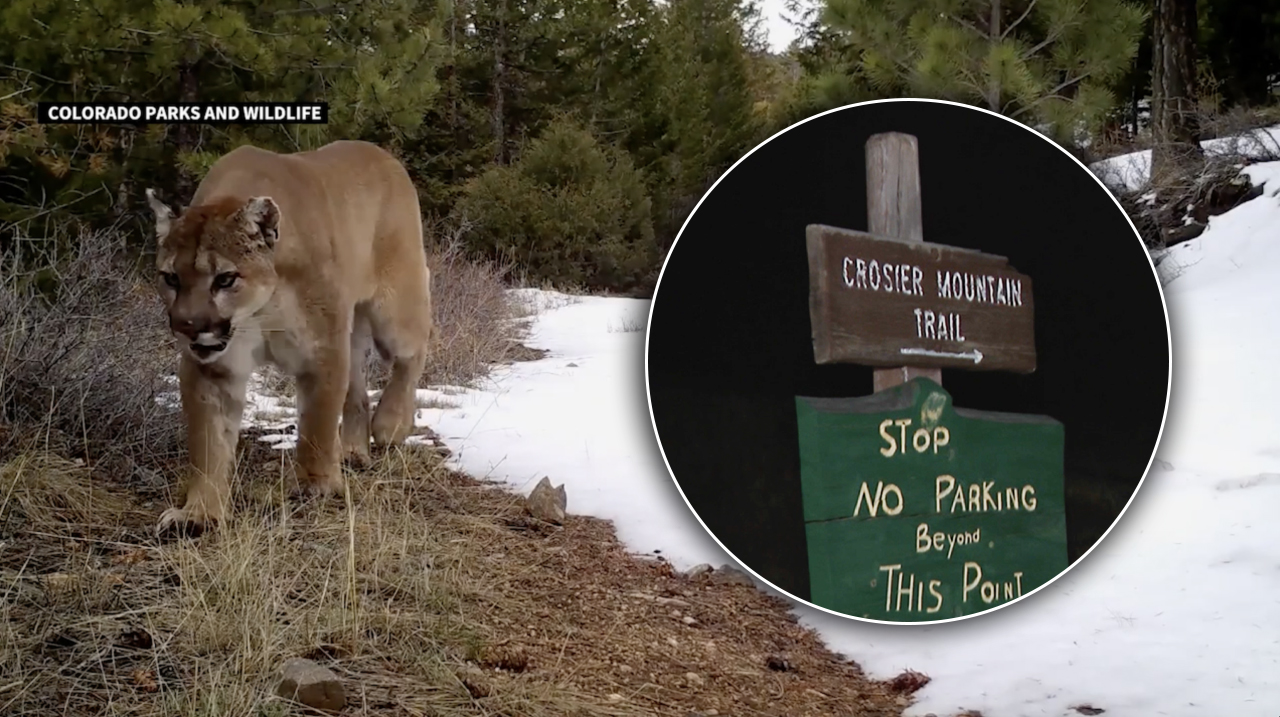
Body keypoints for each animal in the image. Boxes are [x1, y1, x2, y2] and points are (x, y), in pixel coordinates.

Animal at [146, 140, 433, 535]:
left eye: (225, 279)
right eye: (171, 278)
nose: (187, 325)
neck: (260, 308)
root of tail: (380, 151)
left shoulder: (322, 350)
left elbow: (317, 424)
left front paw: (317, 487)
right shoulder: (213, 368)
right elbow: (208, 443)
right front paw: (199, 514)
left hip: (394, 310)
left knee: (412, 354)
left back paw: (391, 425)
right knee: (358, 389)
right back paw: (353, 452)